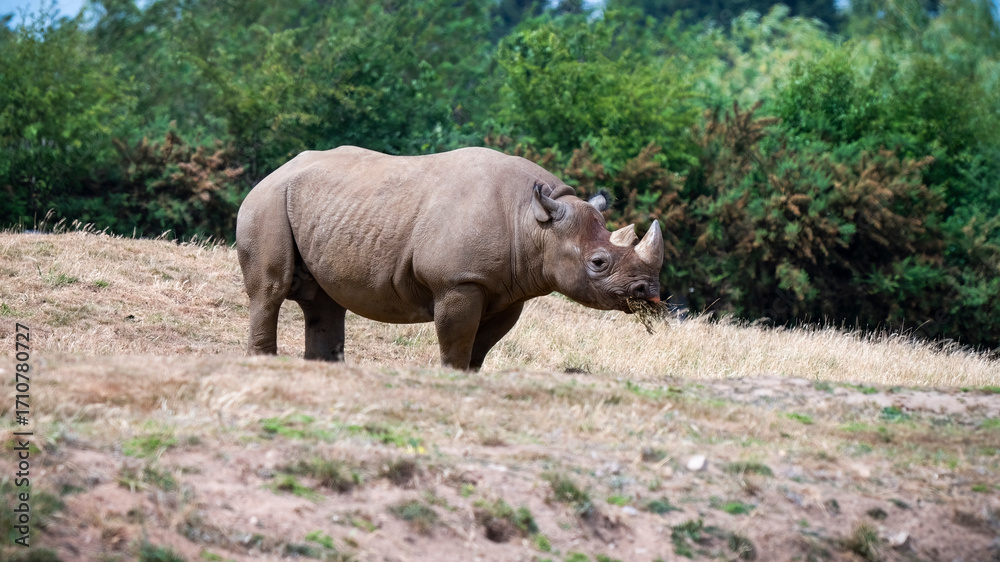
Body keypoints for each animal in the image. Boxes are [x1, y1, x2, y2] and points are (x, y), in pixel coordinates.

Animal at [236, 146, 663, 370]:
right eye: (598, 263)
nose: (649, 292)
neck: (534, 222)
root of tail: (276, 170)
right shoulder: (459, 281)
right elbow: (456, 341)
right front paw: (451, 376)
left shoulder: (507, 290)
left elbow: (481, 347)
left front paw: (469, 377)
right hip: (266, 201)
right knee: (270, 290)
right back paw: (263, 363)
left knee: (324, 302)